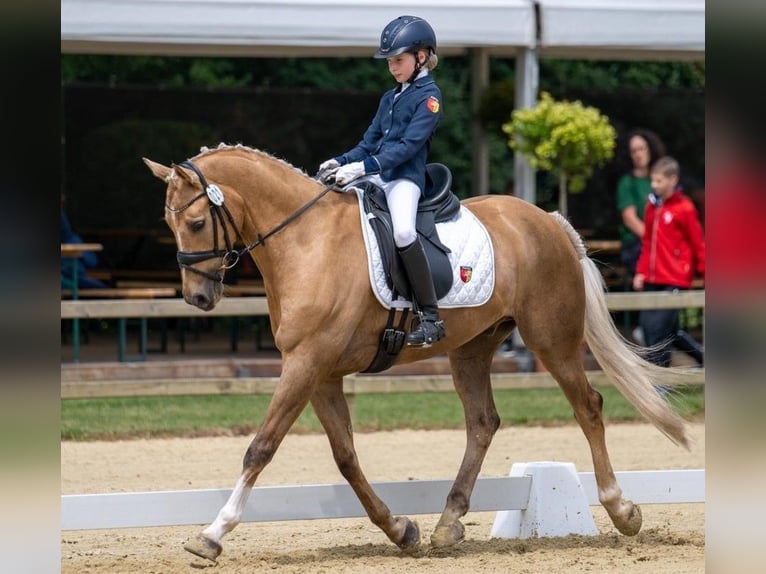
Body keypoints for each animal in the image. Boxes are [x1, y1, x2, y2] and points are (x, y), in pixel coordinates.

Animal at [146, 143, 696, 564]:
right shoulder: (319, 372)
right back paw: (448, 523)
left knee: (589, 408)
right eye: (168, 223)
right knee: (483, 422)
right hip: (472, 349)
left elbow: (261, 447)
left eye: (196, 222)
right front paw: (400, 529)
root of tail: (548, 220)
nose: (199, 298)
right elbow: (345, 457)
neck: (306, 241)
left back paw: (622, 510)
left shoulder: (306, 364)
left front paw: (211, 535)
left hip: (552, 341)